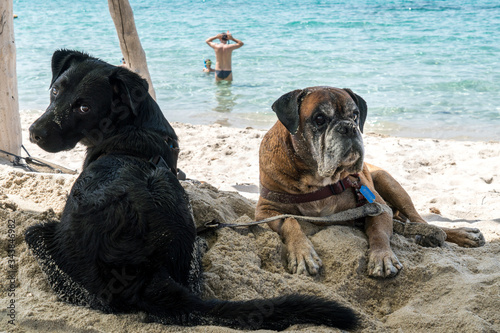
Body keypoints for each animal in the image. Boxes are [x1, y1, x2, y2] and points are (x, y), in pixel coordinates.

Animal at [24, 50, 360, 330]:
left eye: (84, 107)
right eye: (54, 91)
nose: (34, 133)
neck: (136, 129)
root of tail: (146, 272)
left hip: (37, 234)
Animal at [256, 86, 482, 278]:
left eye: (355, 115)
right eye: (319, 118)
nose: (348, 127)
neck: (318, 181)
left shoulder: (379, 207)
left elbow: (379, 233)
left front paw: (382, 256)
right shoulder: (265, 211)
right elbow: (290, 221)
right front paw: (302, 253)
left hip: (389, 183)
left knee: (421, 221)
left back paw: (459, 235)